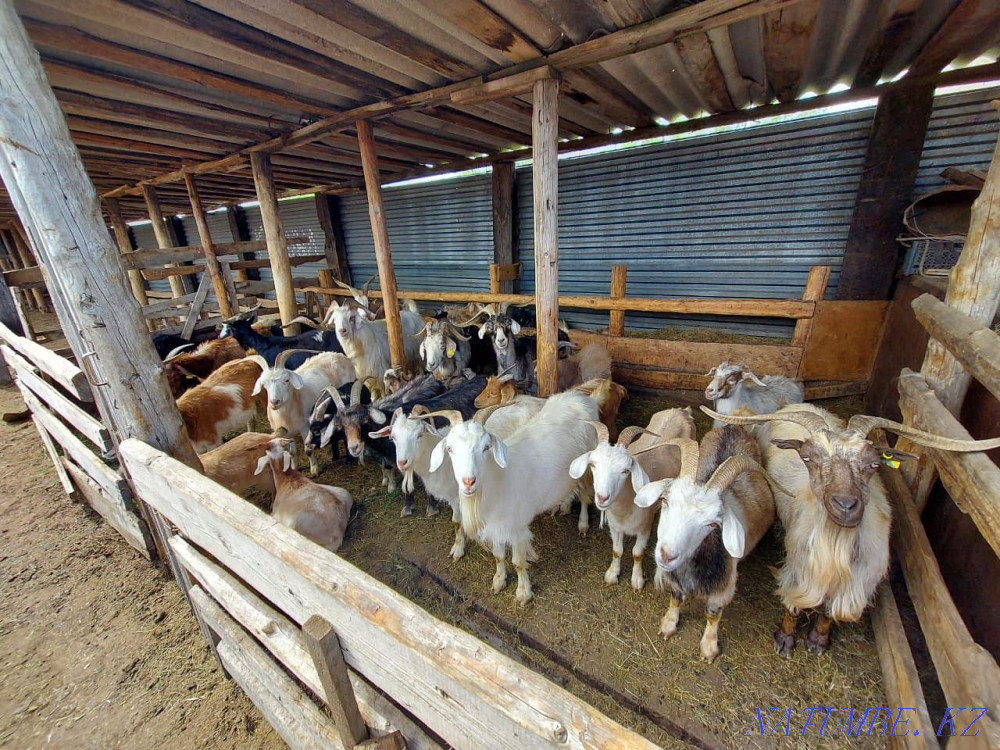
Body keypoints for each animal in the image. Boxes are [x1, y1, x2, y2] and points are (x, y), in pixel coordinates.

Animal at [422, 389, 600, 603]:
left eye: (486, 447)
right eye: (450, 448)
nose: (468, 481)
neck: (499, 480)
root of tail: (582, 398)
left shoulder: (516, 526)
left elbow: (518, 561)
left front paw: (523, 593)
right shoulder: (495, 526)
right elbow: (498, 555)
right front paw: (499, 581)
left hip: (586, 466)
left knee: (585, 494)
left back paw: (583, 524)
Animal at [569, 408, 695, 590]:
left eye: (626, 470)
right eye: (592, 464)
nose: (602, 497)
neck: (624, 509)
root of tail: (681, 411)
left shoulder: (644, 528)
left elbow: (637, 553)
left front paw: (637, 580)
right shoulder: (615, 527)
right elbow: (617, 550)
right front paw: (612, 574)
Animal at [633, 426, 776, 662]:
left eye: (713, 523)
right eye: (665, 500)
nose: (666, 554)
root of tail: (734, 427)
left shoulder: (722, 590)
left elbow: (712, 615)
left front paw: (709, 648)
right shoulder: (675, 582)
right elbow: (676, 598)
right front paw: (668, 625)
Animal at [704, 403, 1000, 655]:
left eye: (873, 463)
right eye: (808, 458)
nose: (845, 505)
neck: (836, 549)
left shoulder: (859, 580)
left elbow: (829, 612)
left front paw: (818, 641)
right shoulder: (801, 570)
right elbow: (795, 604)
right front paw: (785, 640)